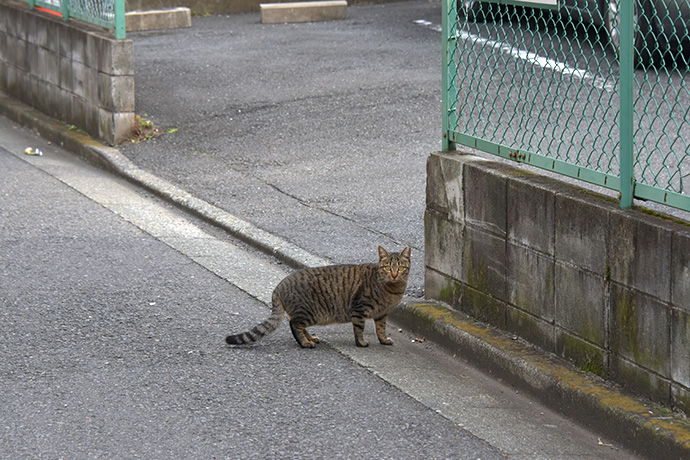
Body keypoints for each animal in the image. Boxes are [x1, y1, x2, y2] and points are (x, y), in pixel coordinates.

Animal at [224, 246, 408, 346]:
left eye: (400, 268)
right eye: (387, 267)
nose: (394, 274)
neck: (394, 288)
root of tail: (278, 286)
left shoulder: (382, 313)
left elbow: (381, 329)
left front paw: (383, 340)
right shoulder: (359, 309)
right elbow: (359, 329)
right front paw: (361, 343)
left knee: (298, 325)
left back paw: (311, 338)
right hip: (310, 312)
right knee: (294, 324)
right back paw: (305, 343)